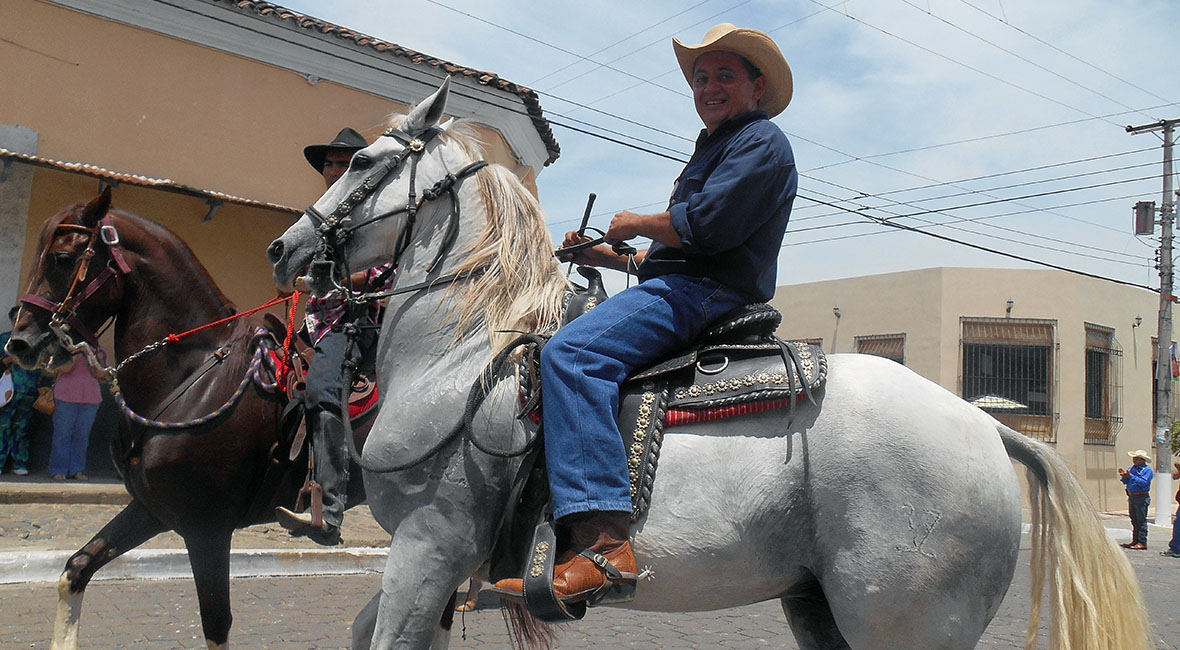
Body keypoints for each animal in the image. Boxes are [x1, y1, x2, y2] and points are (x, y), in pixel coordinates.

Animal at [6, 189, 377, 649]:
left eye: (60, 257)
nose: (19, 343)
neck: (193, 376)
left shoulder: (207, 528)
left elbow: (216, 623)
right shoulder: (151, 508)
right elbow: (76, 569)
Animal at [266, 78, 1152, 650]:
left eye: (360, 164)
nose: (286, 248)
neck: (459, 360)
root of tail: (982, 427)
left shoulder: (429, 544)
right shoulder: (435, 562)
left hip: (903, 620)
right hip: (822, 609)